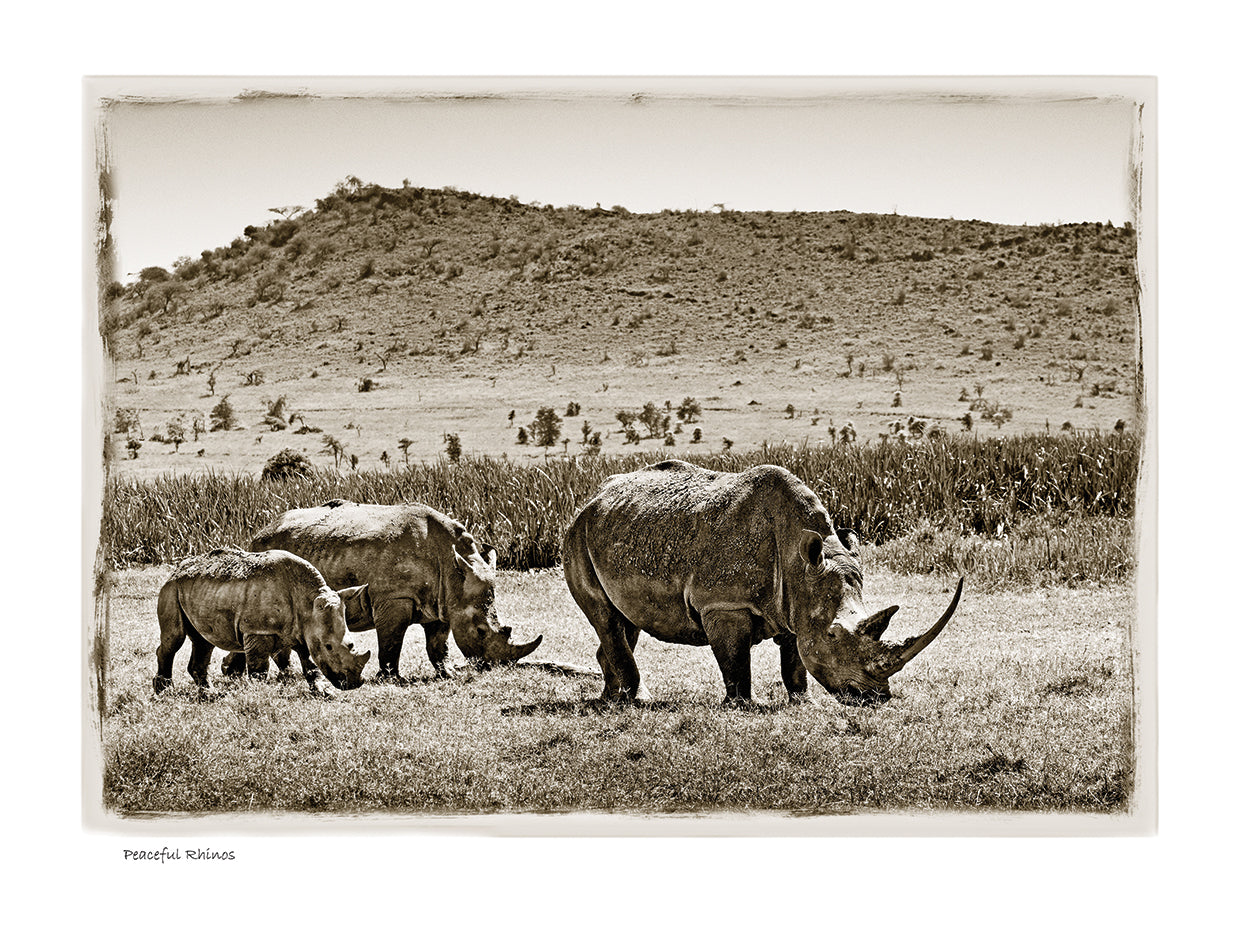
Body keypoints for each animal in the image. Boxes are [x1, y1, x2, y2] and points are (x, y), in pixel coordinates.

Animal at [154, 548, 371, 693]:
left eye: (351, 645)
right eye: (329, 646)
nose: (354, 683)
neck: (308, 602)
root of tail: (176, 570)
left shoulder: (301, 628)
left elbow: (309, 662)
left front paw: (323, 692)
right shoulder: (258, 629)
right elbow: (259, 668)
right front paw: (259, 694)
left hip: (197, 591)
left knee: (203, 642)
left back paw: (209, 694)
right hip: (171, 589)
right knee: (175, 638)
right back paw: (164, 692)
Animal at [249, 501, 542, 679]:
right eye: (480, 631)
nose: (495, 667)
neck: (451, 566)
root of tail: (259, 532)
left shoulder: (444, 601)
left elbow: (439, 644)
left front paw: (447, 674)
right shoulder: (393, 598)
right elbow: (391, 640)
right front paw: (391, 678)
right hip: (268, 557)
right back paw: (288, 677)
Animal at [562, 460, 962, 706]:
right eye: (834, 634)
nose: (875, 696)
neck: (799, 561)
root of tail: (593, 499)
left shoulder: (796, 601)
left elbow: (796, 660)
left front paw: (804, 703)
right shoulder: (724, 603)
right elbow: (735, 659)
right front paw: (742, 704)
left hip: (617, 530)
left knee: (624, 622)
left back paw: (611, 699)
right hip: (577, 537)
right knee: (607, 618)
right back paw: (637, 700)